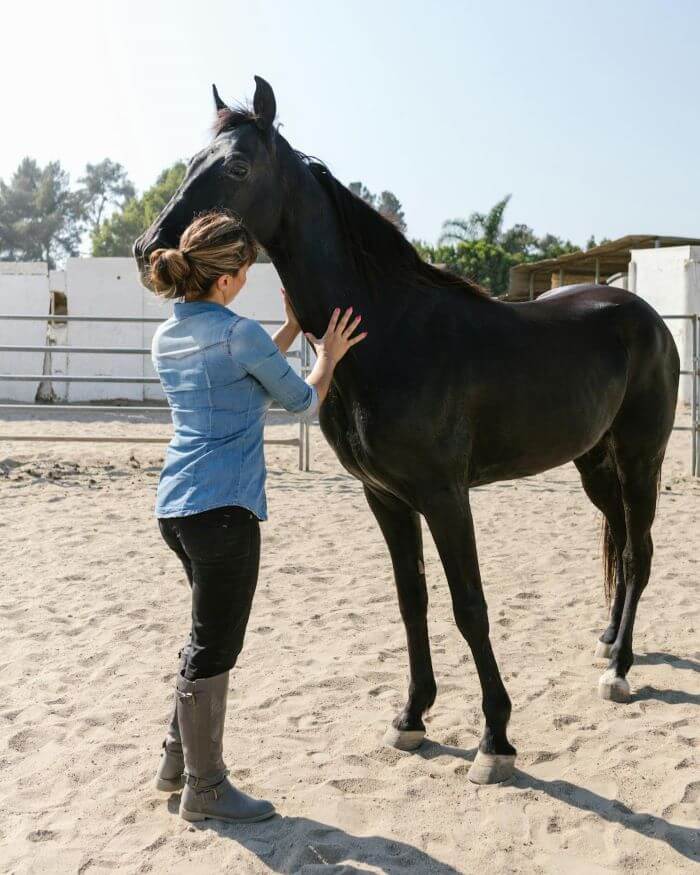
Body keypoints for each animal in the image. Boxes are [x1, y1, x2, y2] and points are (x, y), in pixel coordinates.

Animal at [134, 77, 680, 788]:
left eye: (237, 167)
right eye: (194, 161)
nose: (151, 250)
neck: (387, 334)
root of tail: (645, 315)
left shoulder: (446, 497)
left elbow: (469, 605)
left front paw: (495, 739)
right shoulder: (387, 498)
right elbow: (411, 600)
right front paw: (412, 717)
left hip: (643, 459)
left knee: (638, 553)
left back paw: (618, 670)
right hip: (594, 464)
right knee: (615, 542)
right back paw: (610, 642)